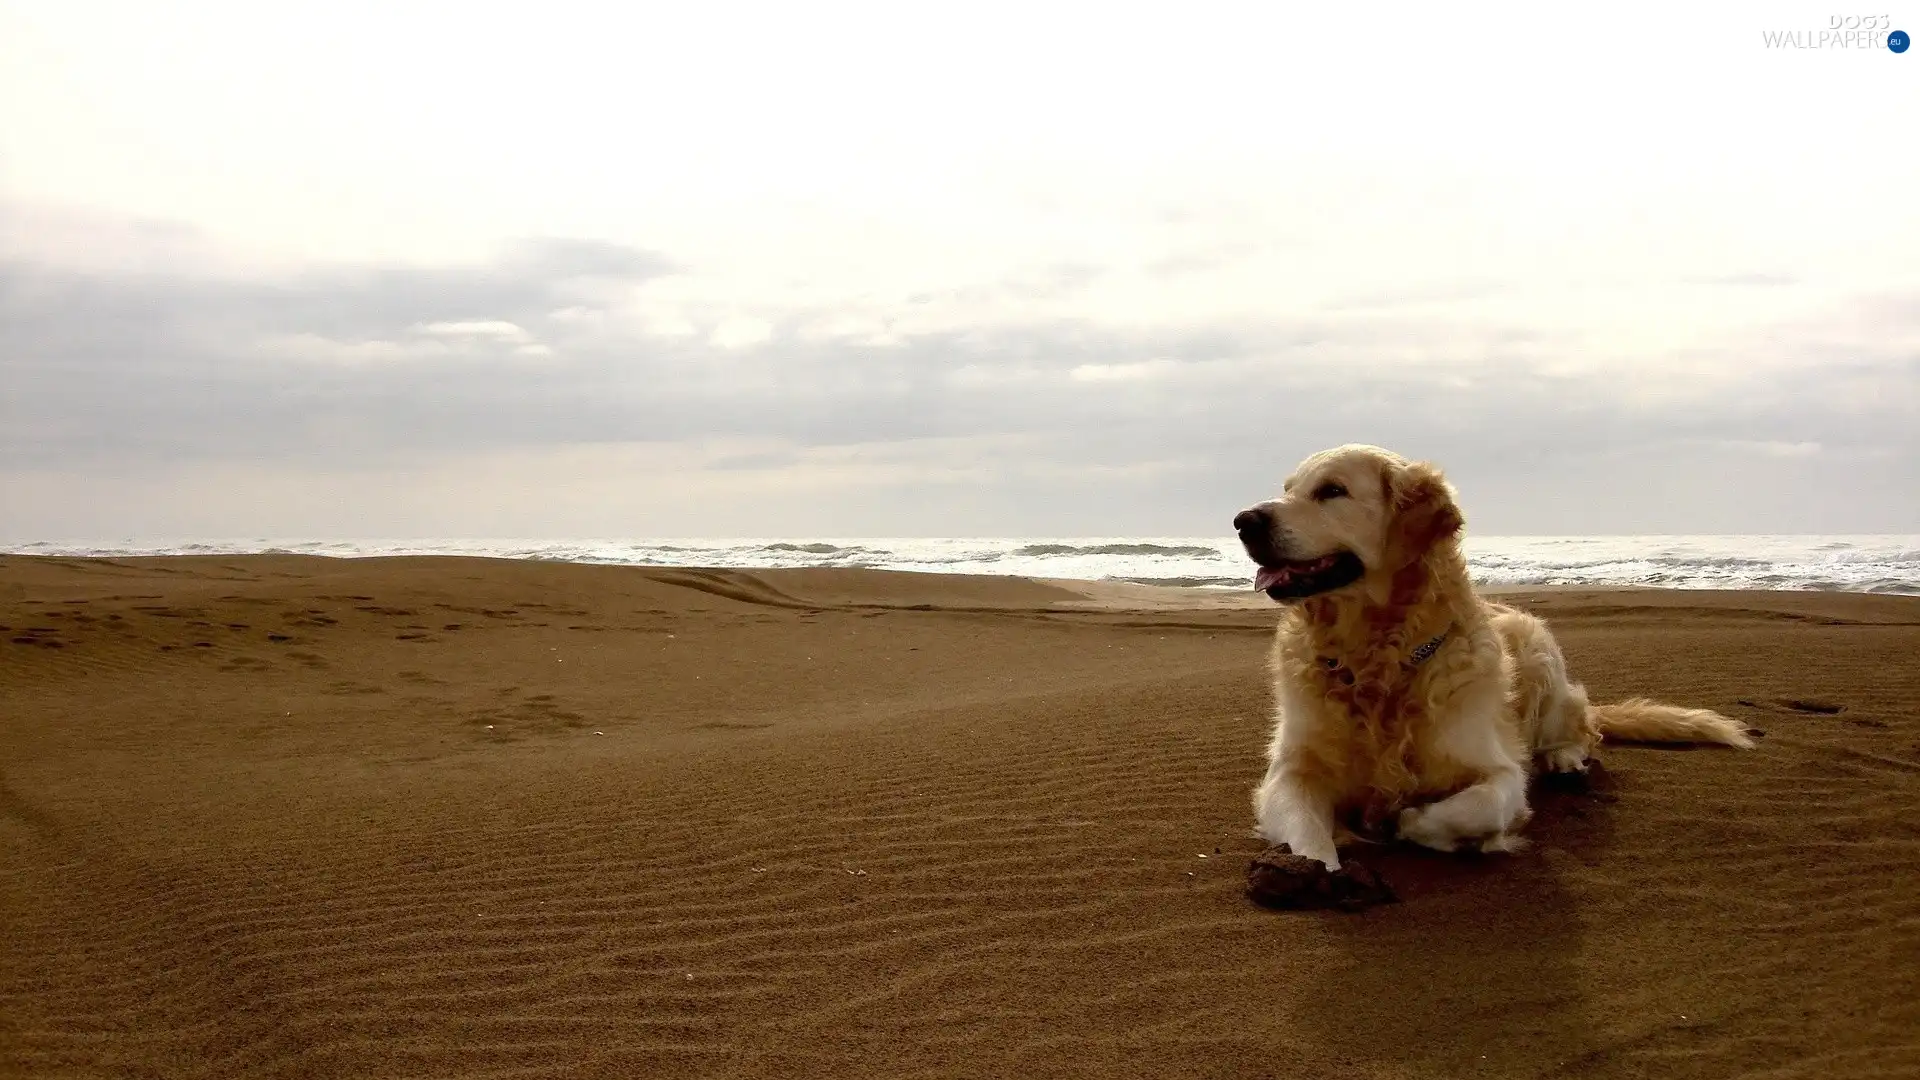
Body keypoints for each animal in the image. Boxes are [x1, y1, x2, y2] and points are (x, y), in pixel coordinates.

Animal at [1228, 440, 1758, 864]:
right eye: (1289, 488)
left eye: (1332, 491)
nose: (1242, 521)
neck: (1379, 661)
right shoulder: (1290, 772)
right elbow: (1306, 835)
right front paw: (1317, 873)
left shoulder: (1498, 771)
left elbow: (1472, 807)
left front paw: (1408, 821)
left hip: (1540, 653)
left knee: (1583, 727)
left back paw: (1565, 760)